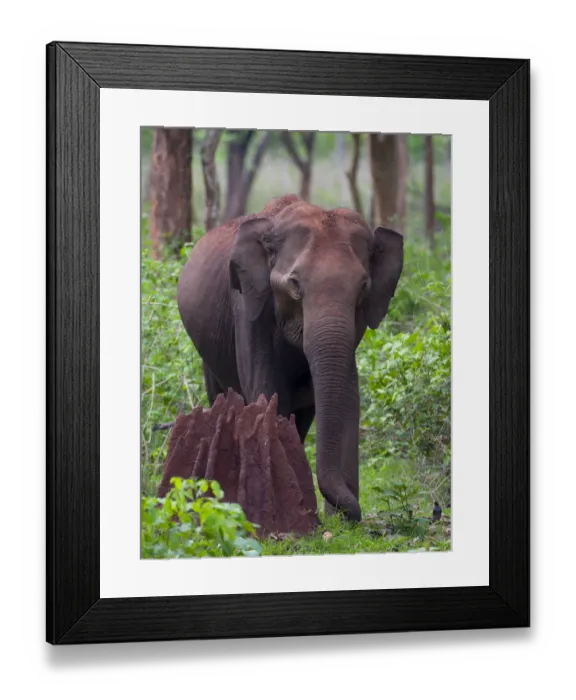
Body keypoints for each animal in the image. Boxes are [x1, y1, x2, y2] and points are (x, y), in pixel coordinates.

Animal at [177, 194, 404, 522]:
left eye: (363, 287)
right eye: (295, 284)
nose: (354, 513)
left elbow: (349, 398)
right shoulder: (248, 304)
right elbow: (268, 391)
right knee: (222, 393)